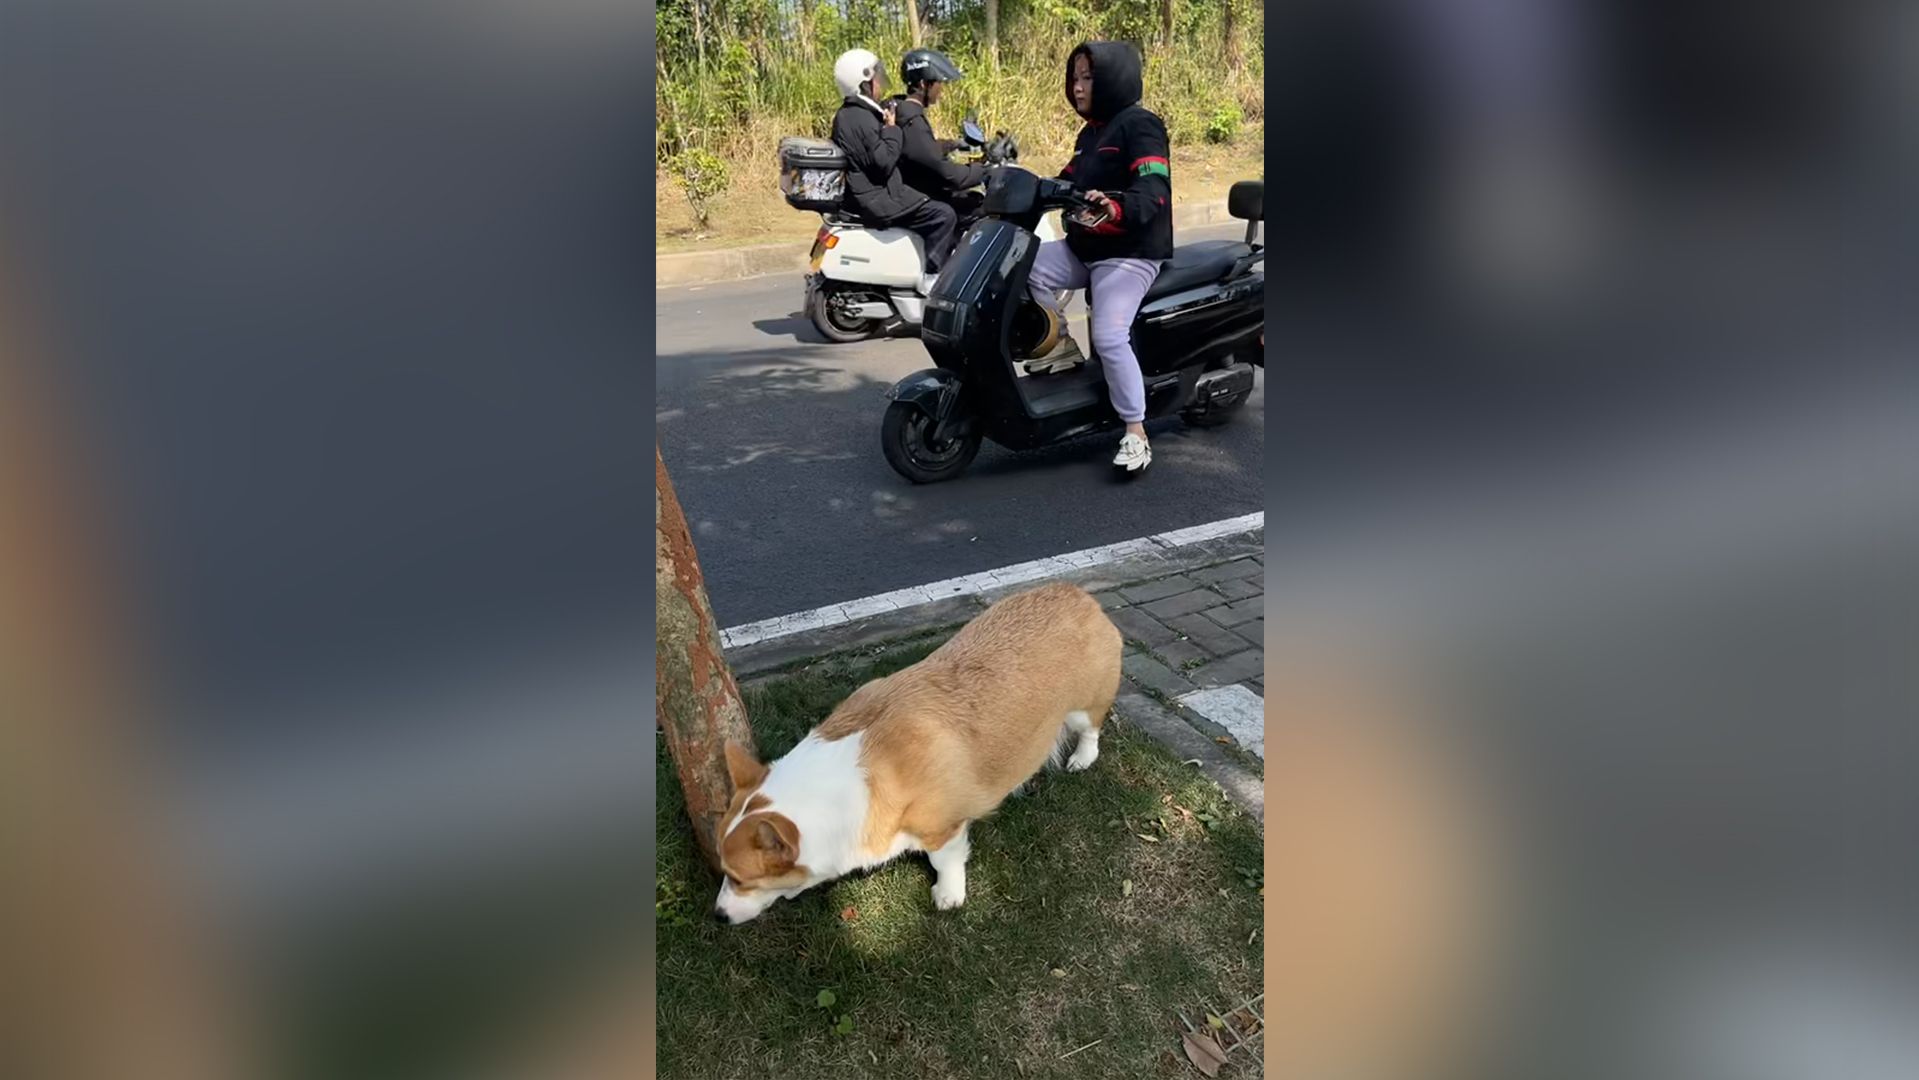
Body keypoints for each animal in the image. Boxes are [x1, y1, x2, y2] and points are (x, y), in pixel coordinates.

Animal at [711, 582, 1122, 924]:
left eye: (740, 879)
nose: (718, 917)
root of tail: (1078, 594)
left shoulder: (942, 827)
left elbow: (945, 861)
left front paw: (948, 896)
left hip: (1084, 707)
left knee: (1091, 729)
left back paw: (1082, 759)